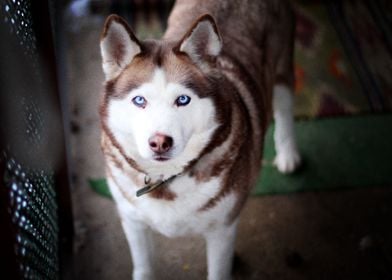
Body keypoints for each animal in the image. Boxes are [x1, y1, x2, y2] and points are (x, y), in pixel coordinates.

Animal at [99, 1, 300, 278]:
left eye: (183, 99)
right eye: (139, 100)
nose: (160, 142)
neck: (166, 181)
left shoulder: (222, 230)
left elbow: (218, 270)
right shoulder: (132, 221)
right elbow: (143, 267)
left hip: (282, 68)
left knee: (284, 107)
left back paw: (288, 153)